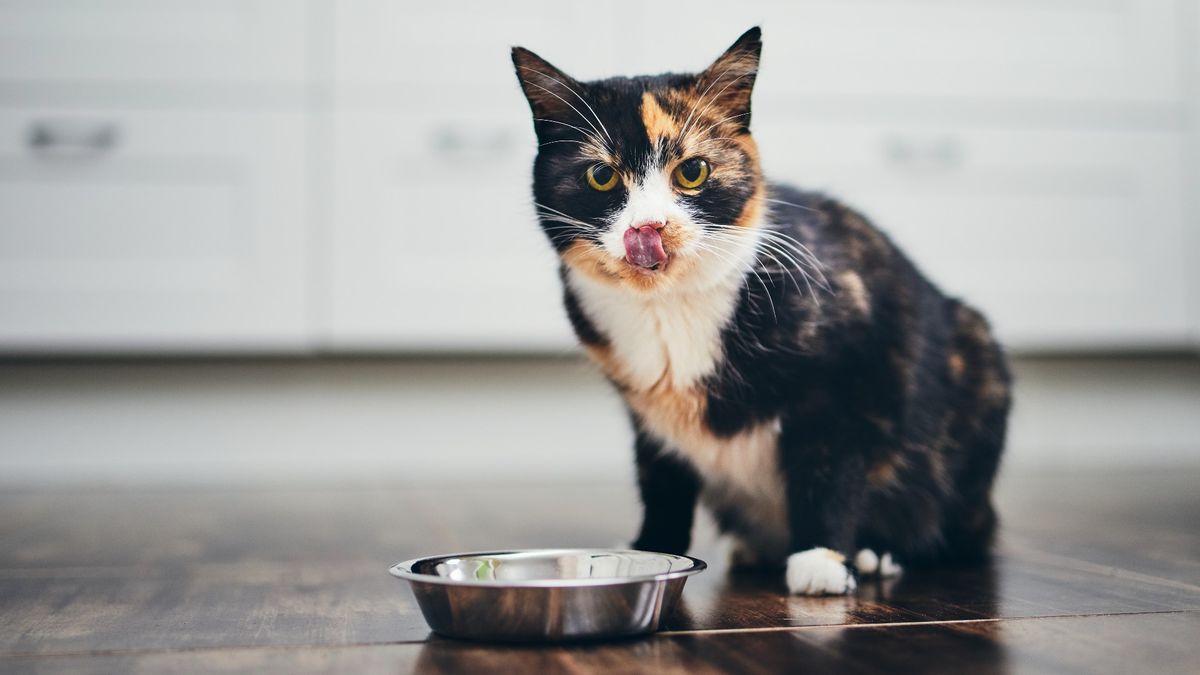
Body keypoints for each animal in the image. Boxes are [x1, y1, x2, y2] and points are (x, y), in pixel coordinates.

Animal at [511, 27, 1008, 593]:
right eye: (600, 176)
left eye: (693, 171)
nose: (649, 227)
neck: (669, 308)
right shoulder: (649, 415)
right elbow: (661, 479)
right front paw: (651, 549)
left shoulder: (850, 369)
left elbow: (829, 465)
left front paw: (821, 558)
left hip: (975, 364)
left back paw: (877, 552)